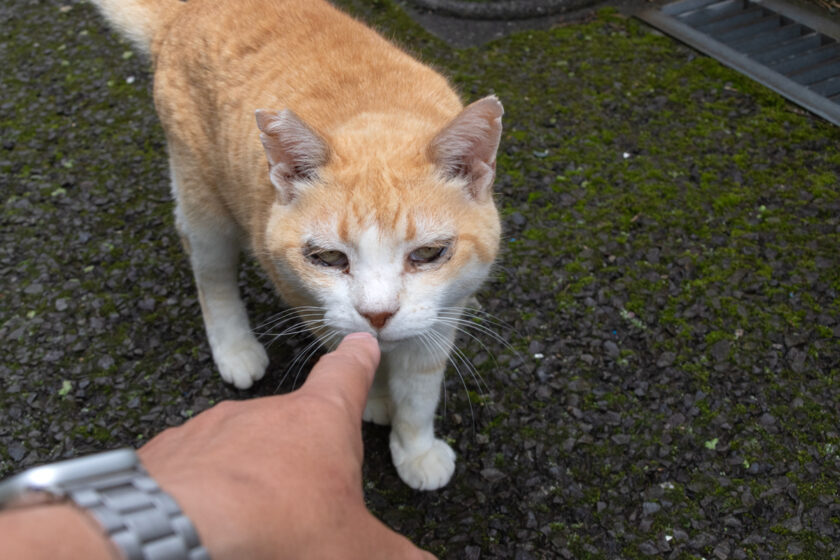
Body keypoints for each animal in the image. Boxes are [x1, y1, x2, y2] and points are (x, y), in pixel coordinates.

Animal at [92, 0, 502, 490]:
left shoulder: (441, 315)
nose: (377, 315)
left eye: (427, 254)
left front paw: (415, 449)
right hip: (203, 200)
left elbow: (419, 391)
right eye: (327, 258)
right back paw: (235, 347)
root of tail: (190, 10)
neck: (375, 116)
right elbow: (352, 356)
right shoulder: (303, 296)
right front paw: (374, 400)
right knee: (211, 275)